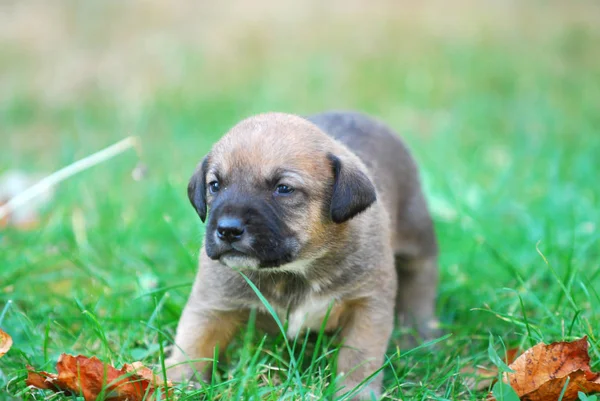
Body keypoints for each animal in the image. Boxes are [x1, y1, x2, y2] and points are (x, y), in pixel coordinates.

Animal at [166, 111, 438, 398]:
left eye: (284, 188)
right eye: (215, 185)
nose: (227, 230)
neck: (292, 271)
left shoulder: (367, 305)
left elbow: (359, 358)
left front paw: (355, 393)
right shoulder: (212, 305)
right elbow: (193, 345)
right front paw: (176, 383)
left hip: (417, 236)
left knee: (420, 283)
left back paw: (419, 335)